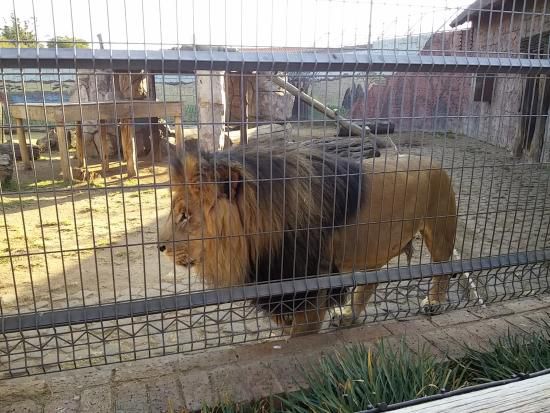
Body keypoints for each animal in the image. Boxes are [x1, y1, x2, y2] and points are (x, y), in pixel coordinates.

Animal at [161, 144, 474, 334]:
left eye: (185, 216)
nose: (160, 246)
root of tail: (433, 161)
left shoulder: (311, 284)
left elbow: (301, 331)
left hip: (440, 229)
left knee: (442, 269)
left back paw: (433, 302)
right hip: (372, 246)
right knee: (370, 282)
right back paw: (349, 315)